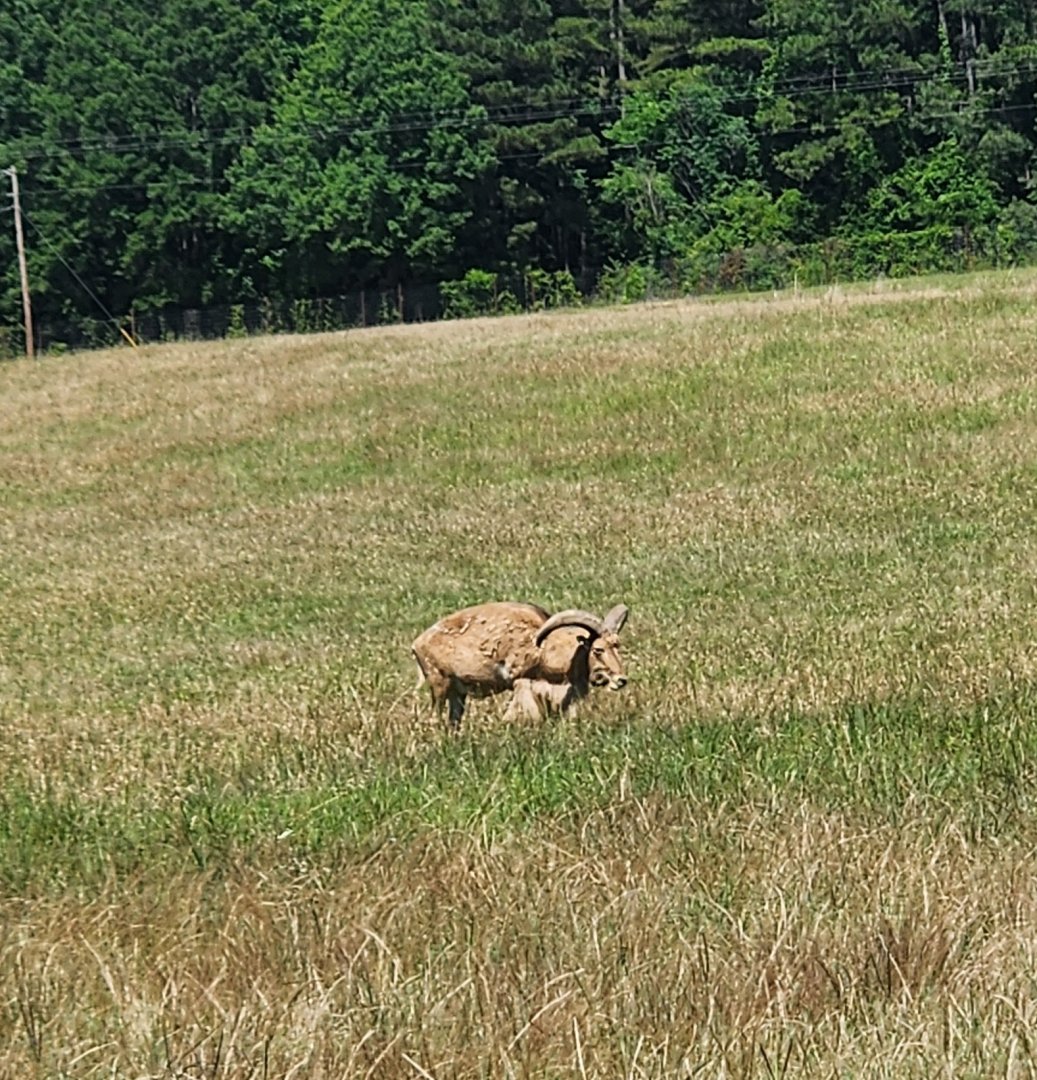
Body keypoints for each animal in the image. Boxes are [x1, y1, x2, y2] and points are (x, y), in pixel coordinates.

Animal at [411, 601, 629, 729]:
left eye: (617, 646)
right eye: (598, 649)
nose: (621, 679)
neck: (545, 647)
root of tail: (417, 644)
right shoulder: (522, 681)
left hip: (457, 694)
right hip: (439, 685)